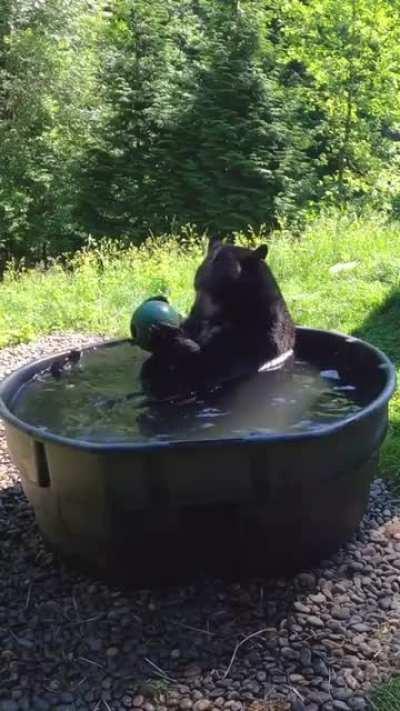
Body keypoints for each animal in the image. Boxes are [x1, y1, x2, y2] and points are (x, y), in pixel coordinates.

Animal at [140, 236, 295, 398]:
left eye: (215, 290)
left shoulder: (257, 337)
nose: (196, 311)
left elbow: (209, 366)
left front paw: (172, 337)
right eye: (197, 286)